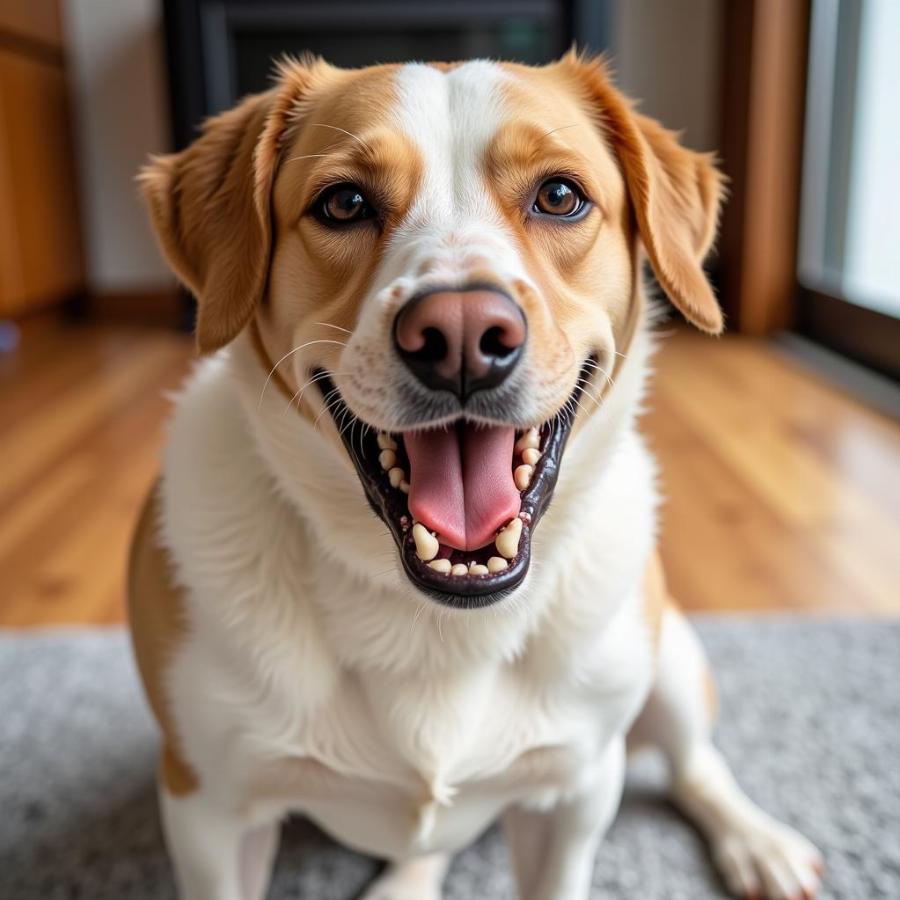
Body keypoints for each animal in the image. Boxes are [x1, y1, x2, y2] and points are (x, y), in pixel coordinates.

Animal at [128, 52, 824, 896]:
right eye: (343, 203)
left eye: (559, 196)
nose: (460, 334)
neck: (433, 623)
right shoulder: (207, 807)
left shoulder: (576, 793)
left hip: (669, 665)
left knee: (696, 763)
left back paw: (758, 841)